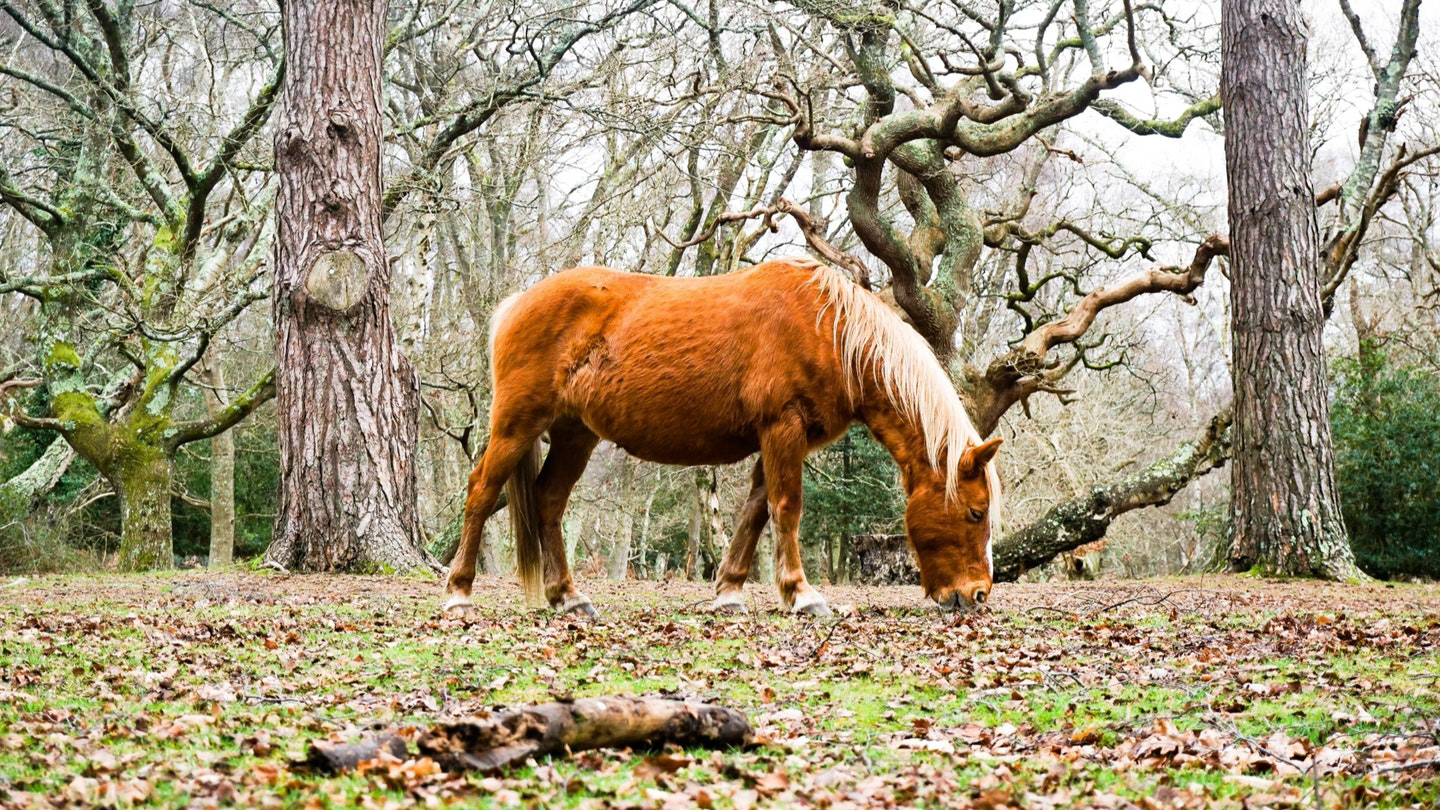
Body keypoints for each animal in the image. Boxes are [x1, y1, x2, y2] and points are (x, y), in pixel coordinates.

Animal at [446, 255, 1002, 613]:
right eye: (976, 513)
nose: (977, 596)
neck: (829, 329)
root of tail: (517, 303)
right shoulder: (782, 428)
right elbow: (786, 508)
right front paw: (803, 595)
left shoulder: (778, 438)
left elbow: (755, 511)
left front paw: (730, 591)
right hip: (517, 424)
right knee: (481, 492)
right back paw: (459, 592)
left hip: (573, 435)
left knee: (548, 501)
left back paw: (568, 597)